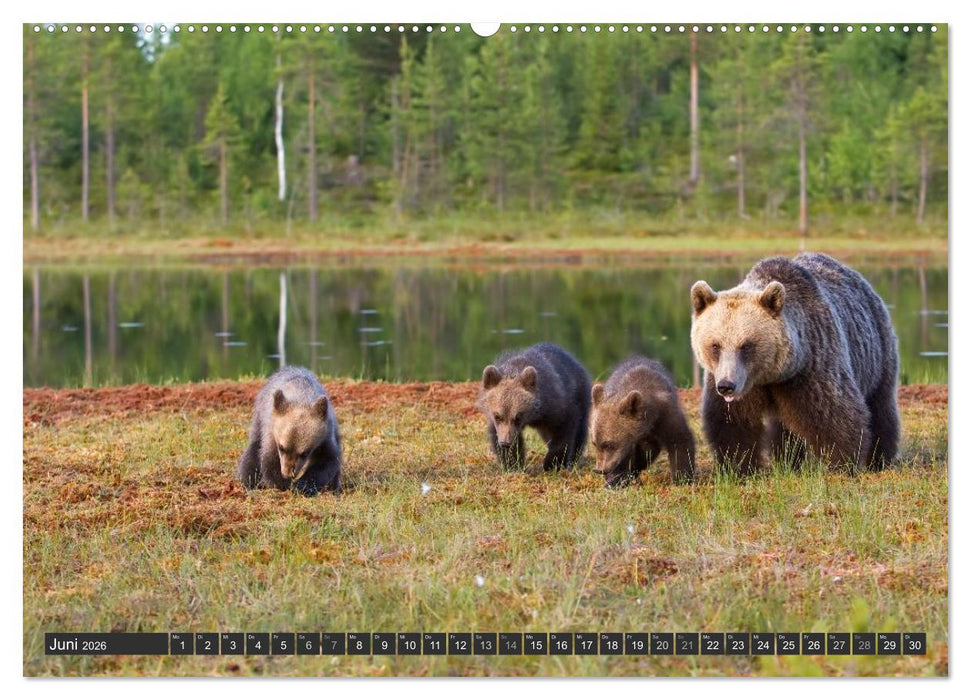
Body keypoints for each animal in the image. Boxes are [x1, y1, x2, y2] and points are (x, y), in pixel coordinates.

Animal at [236, 366, 342, 495]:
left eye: (304, 453)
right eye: (282, 448)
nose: (288, 474)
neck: (301, 397)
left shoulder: (326, 436)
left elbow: (327, 461)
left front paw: (303, 485)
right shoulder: (271, 432)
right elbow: (269, 460)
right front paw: (284, 484)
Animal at [477, 342, 592, 471]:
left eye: (518, 417)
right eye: (497, 416)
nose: (505, 443)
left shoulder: (556, 405)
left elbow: (564, 430)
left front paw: (552, 462)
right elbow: (497, 434)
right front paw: (513, 463)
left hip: (581, 392)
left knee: (580, 430)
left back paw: (574, 459)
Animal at [590, 356, 696, 488]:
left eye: (609, 444)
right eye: (594, 443)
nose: (600, 469)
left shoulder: (665, 415)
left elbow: (680, 441)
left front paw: (682, 478)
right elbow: (623, 460)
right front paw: (615, 480)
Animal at [690, 252, 900, 475]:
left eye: (746, 345)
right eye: (715, 345)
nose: (727, 386)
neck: (770, 376)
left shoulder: (810, 367)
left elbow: (834, 416)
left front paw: (841, 463)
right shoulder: (736, 383)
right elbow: (733, 422)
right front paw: (739, 467)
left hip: (877, 351)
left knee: (881, 406)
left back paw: (879, 459)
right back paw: (788, 462)